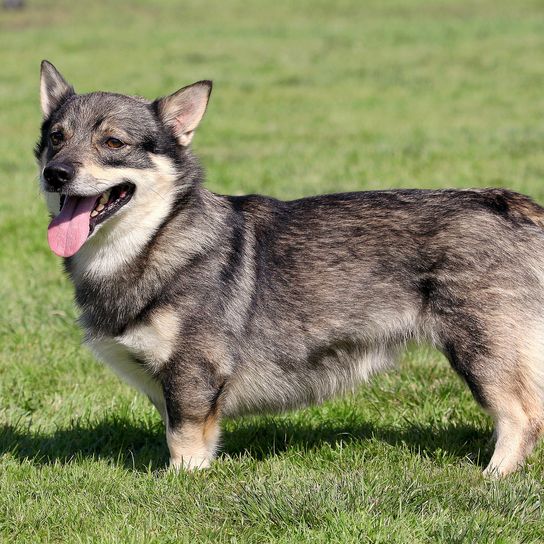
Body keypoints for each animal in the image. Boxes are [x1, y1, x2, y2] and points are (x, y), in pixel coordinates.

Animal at [37, 60, 544, 476]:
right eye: (56, 138)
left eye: (113, 142)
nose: (55, 173)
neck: (155, 238)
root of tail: (511, 204)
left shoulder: (193, 375)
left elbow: (184, 443)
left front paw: (181, 484)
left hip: (482, 350)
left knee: (522, 417)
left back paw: (492, 477)